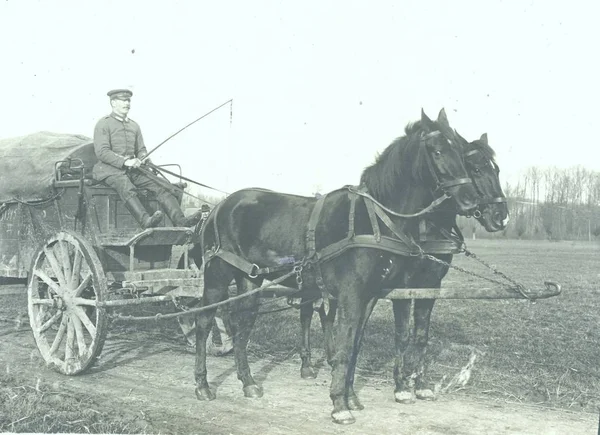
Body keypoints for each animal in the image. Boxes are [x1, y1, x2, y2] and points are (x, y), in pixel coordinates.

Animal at [195, 109, 480, 426]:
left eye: (461, 152)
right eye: (438, 151)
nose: (471, 200)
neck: (376, 219)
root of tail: (218, 207)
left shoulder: (369, 296)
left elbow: (354, 346)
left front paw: (351, 397)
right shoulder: (350, 295)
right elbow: (343, 347)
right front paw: (339, 405)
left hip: (250, 280)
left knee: (243, 323)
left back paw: (248, 383)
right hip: (217, 277)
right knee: (204, 322)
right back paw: (203, 385)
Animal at [294, 131, 506, 408]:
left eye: (497, 170)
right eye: (476, 168)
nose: (501, 216)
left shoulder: (432, 283)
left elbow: (421, 335)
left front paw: (421, 385)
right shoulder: (403, 284)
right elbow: (402, 334)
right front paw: (402, 386)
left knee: (325, 314)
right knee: (308, 313)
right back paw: (308, 365)